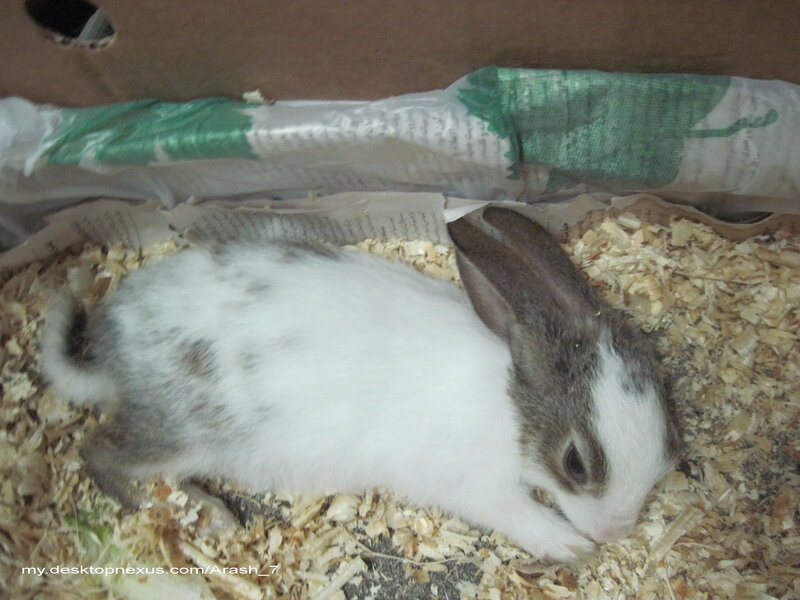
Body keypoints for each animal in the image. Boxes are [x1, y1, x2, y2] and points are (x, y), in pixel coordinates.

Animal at [40, 206, 680, 563]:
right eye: (575, 463)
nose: (618, 530)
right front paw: (569, 546)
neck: (512, 406)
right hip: (175, 435)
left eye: (670, 437)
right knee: (100, 453)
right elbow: (515, 511)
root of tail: (112, 346)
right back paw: (186, 512)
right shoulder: (472, 484)